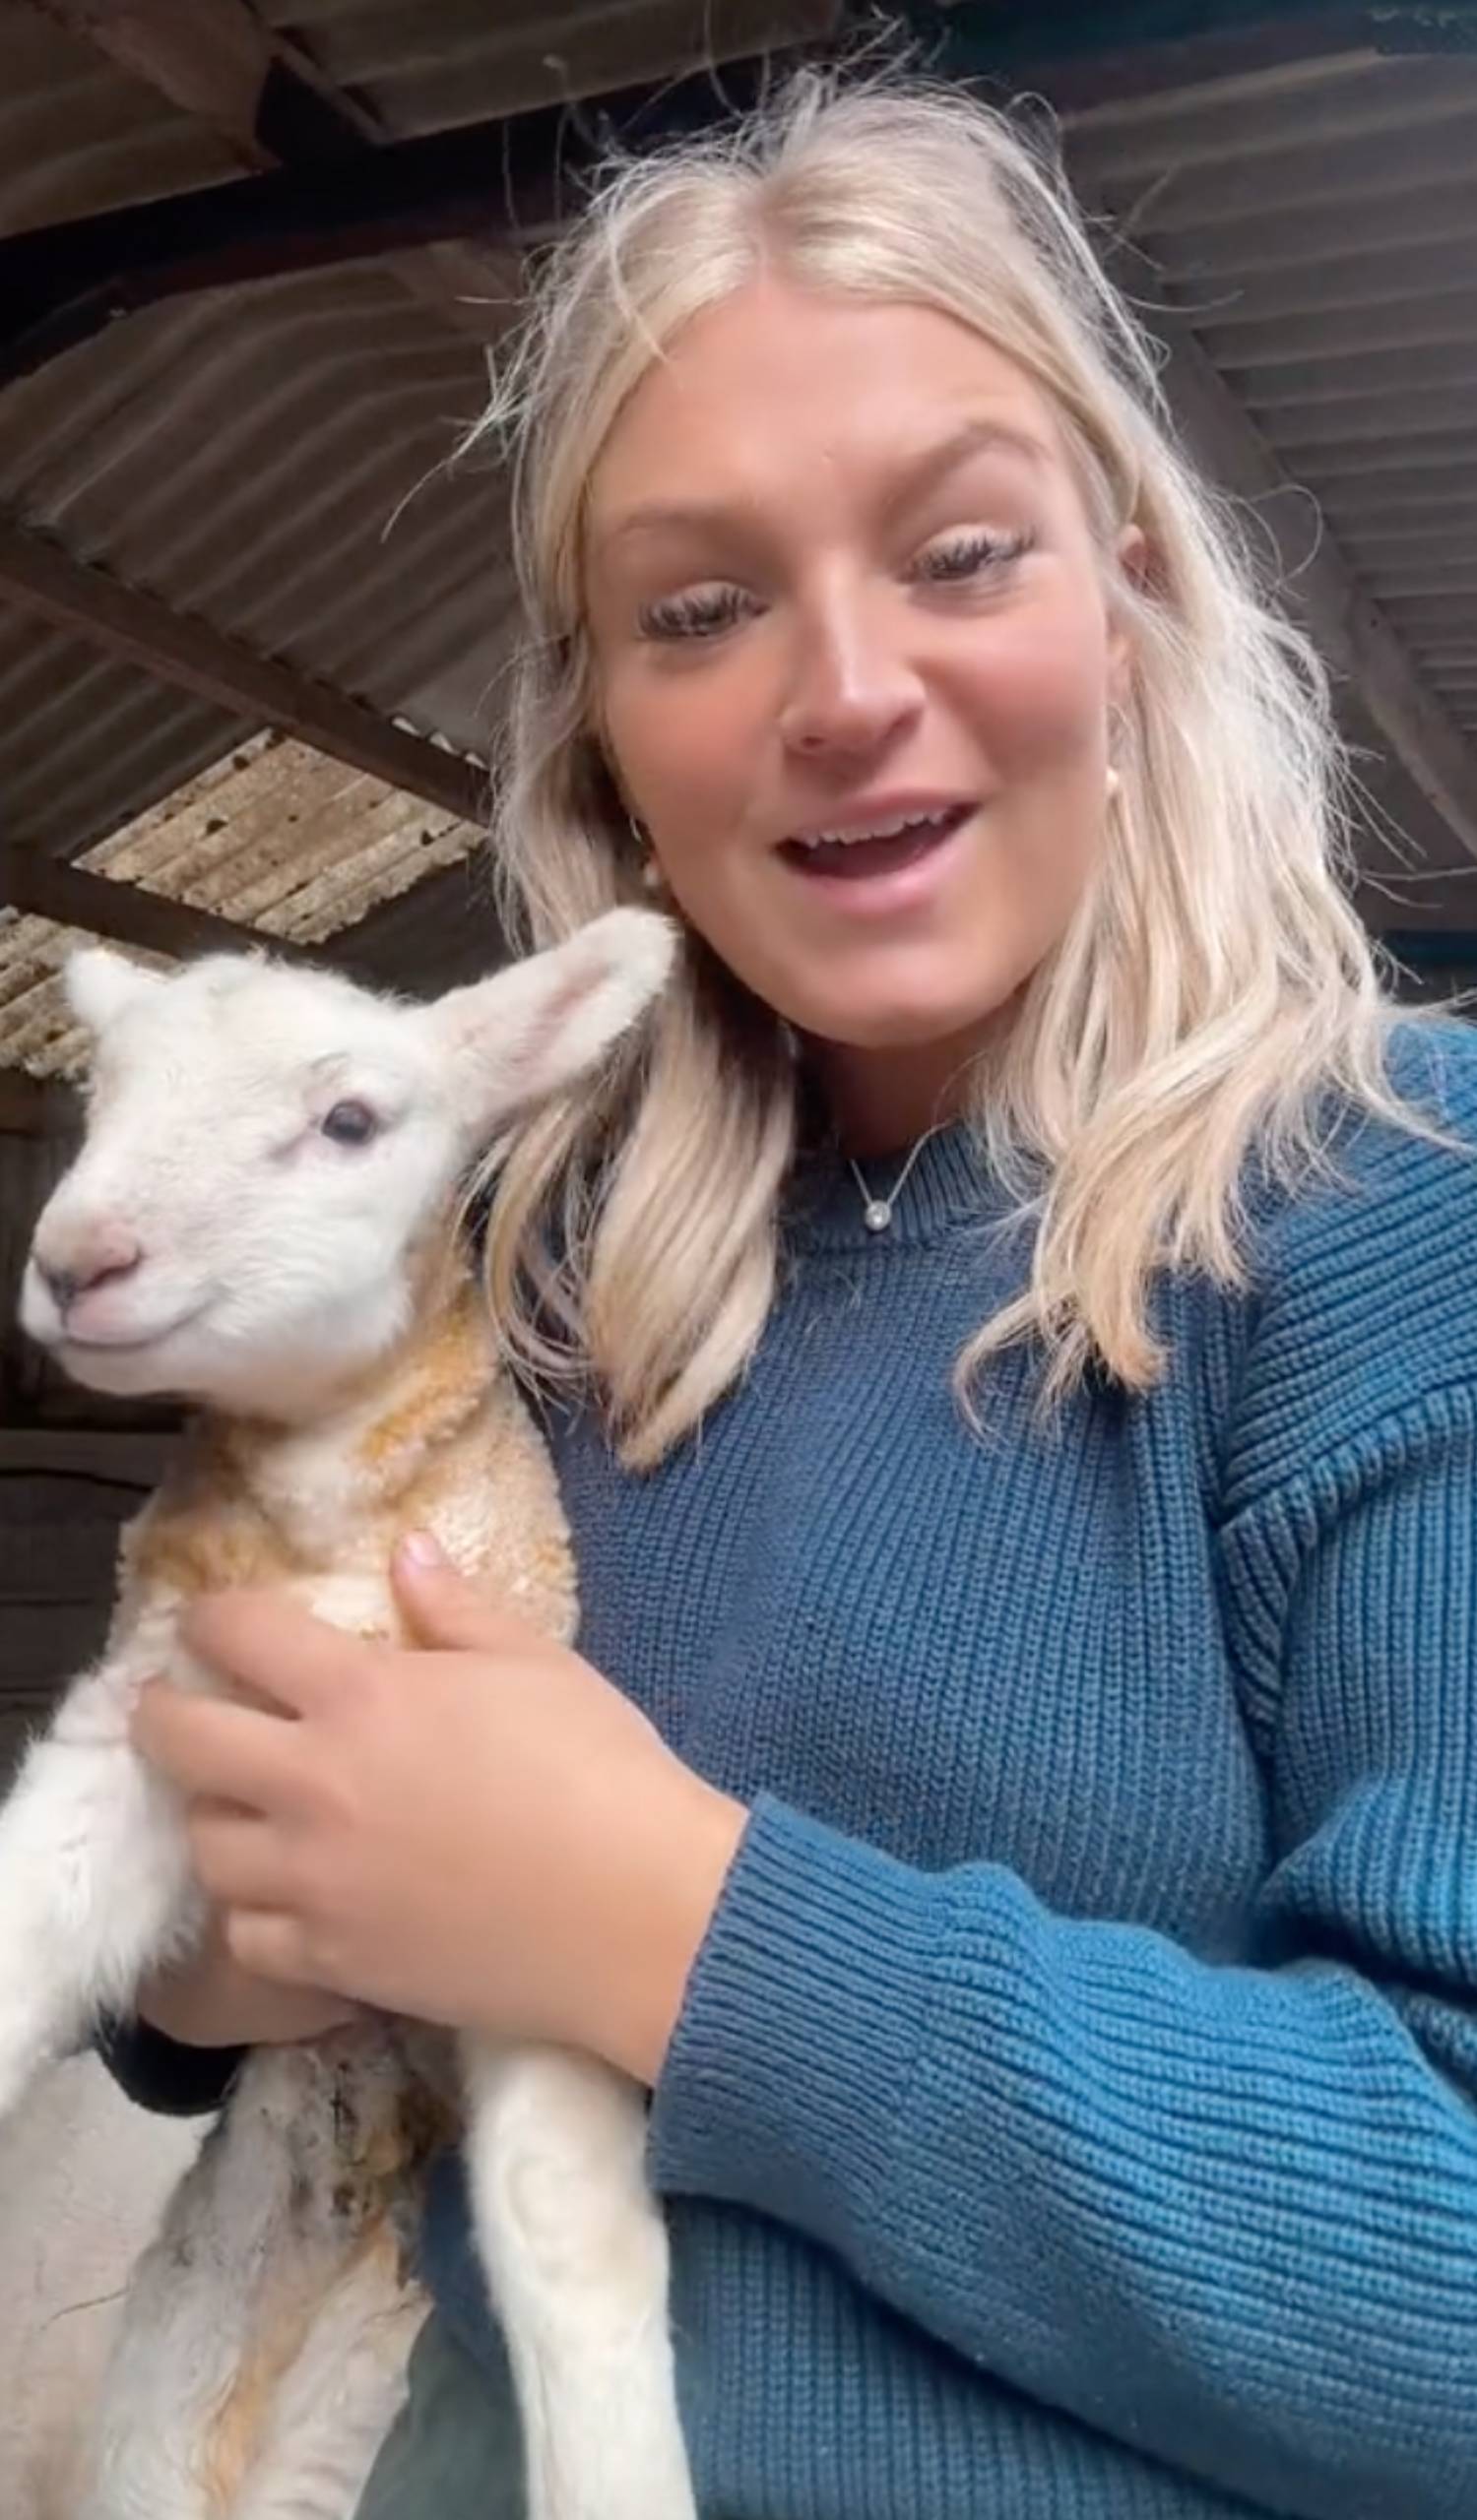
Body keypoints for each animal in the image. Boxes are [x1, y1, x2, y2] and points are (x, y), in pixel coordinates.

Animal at [3, 909, 697, 2520]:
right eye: (101, 1101)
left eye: (352, 1122)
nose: (78, 1260)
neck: (329, 1531)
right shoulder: (153, 1706)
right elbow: (28, 1912)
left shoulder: (506, 1860)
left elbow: (566, 2228)